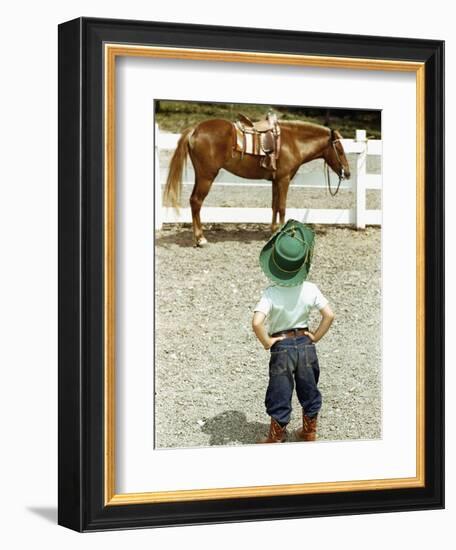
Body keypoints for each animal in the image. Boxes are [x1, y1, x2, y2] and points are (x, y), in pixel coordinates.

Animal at [162, 119, 350, 247]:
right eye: (340, 150)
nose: (347, 173)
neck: (293, 142)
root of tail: (195, 130)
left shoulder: (276, 181)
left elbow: (274, 206)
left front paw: (273, 231)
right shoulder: (284, 180)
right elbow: (282, 207)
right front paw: (281, 233)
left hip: (200, 176)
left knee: (193, 201)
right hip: (206, 177)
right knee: (196, 201)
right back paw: (200, 239)